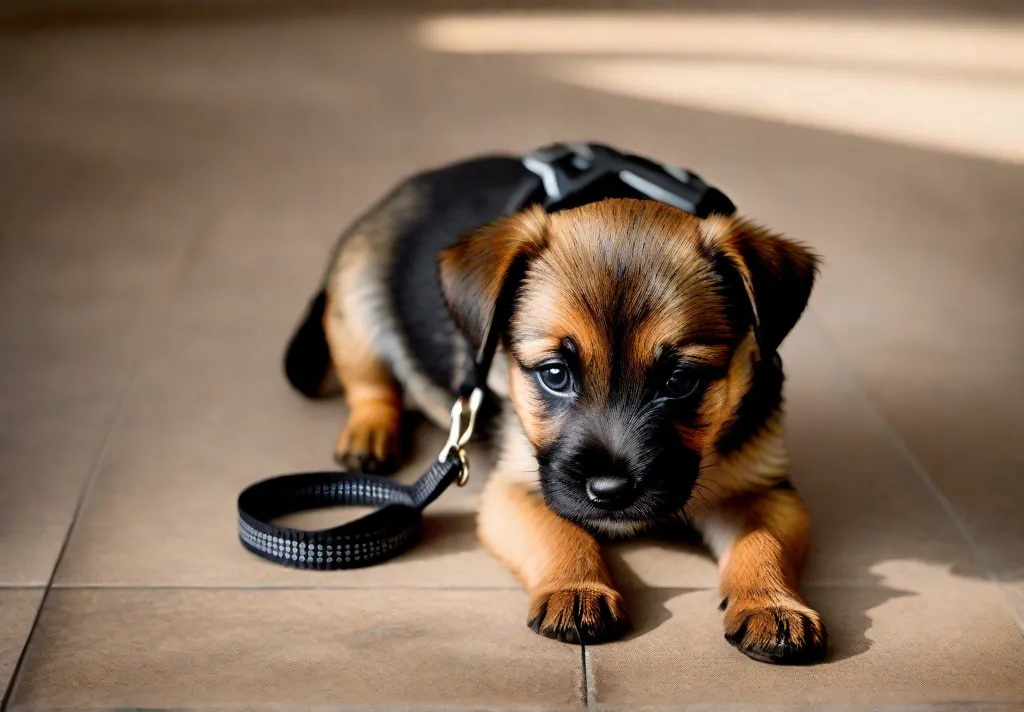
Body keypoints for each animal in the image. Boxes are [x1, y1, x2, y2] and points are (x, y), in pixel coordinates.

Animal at [286, 148, 823, 663]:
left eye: (680, 381)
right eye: (554, 374)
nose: (609, 491)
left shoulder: (764, 490)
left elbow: (764, 543)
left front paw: (773, 606)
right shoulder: (516, 487)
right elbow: (560, 532)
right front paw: (577, 589)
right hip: (356, 309)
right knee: (370, 383)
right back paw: (370, 433)